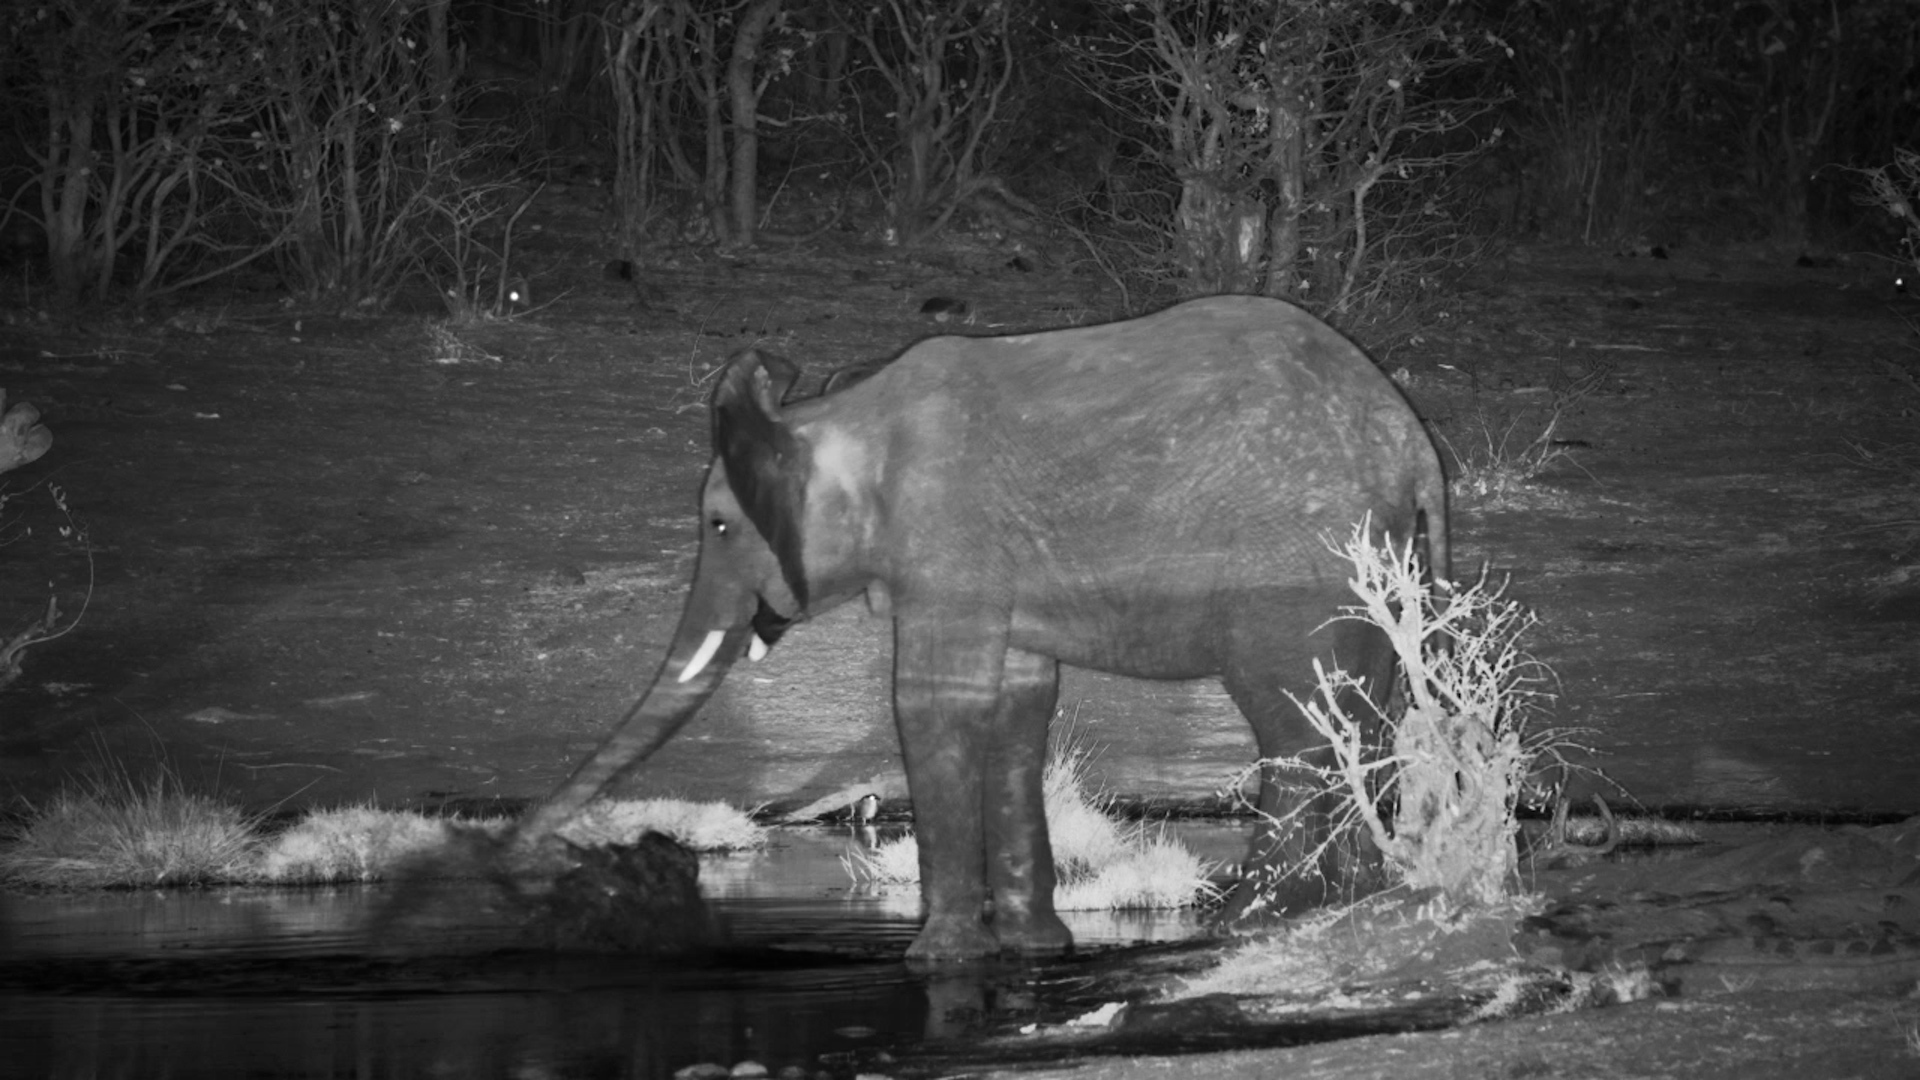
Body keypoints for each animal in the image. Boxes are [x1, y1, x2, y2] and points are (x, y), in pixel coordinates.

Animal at [510, 294, 1448, 962]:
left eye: (717, 527)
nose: (516, 858)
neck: (845, 415)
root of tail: (1414, 445)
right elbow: (1019, 707)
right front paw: (1035, 951)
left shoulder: (945, 538)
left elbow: (933, 703)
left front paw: (936, 961)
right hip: (1375, 569)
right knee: (1363, 715)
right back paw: (1349, 900)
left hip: (1290, 570)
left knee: (1297, 723)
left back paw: (1245, 915)